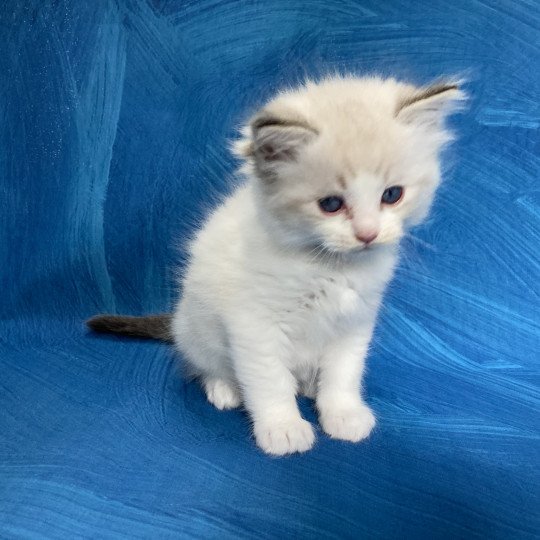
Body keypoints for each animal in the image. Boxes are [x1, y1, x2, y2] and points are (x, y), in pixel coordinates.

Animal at [88, 76, 464, 456]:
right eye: (331, 204)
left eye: (391, 195)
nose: (367, 234)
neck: (331, 267)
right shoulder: (255, 326)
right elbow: (271, 381)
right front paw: (283, 428)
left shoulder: (355, 321)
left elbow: (343, 374)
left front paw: (343, 414)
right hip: (198, 331)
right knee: (208, 366)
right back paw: (225, 389)